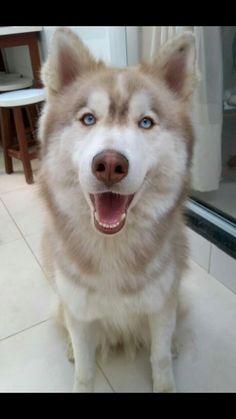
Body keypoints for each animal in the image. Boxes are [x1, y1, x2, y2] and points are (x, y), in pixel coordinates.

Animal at [38, 27, 197, 392]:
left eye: (146, 123)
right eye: (88, 119)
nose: (110, 165)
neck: (112, 247)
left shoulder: (161, 305)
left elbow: (160, 357)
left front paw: (165, 379)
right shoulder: (78, 311)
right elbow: (84, 369)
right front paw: (81, 370)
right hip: (60, 303)